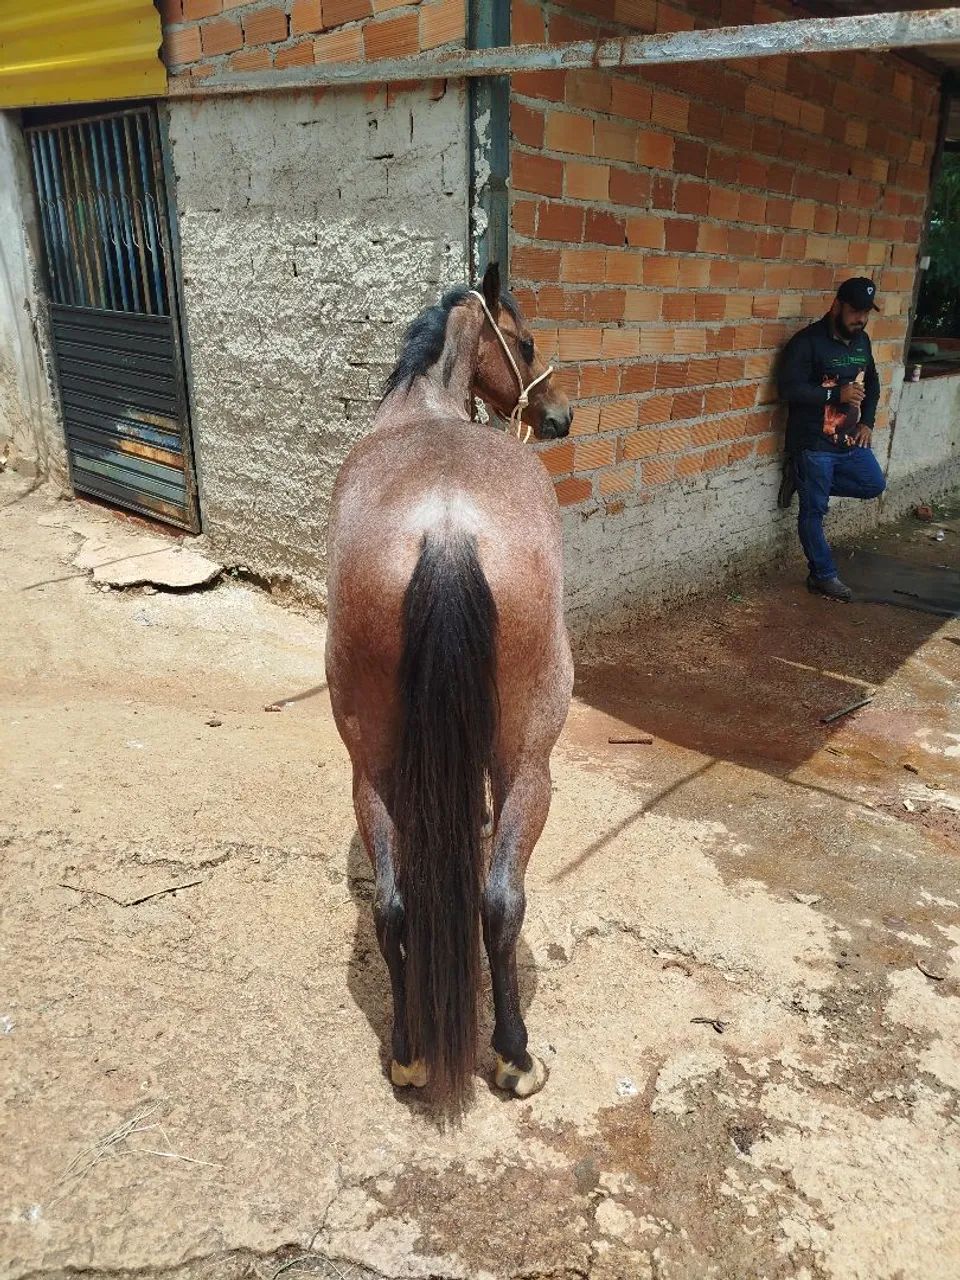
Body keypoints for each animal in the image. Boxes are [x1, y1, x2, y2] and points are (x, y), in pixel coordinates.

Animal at [325, 263, 574, 1111]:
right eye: (524, 340)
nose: (559, 414)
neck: (421, 404)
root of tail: (447, 529)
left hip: (371, 764)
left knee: (392, 904)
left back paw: (408, 1056)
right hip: (530, 760)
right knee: (500, 902)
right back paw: (514, 1056)